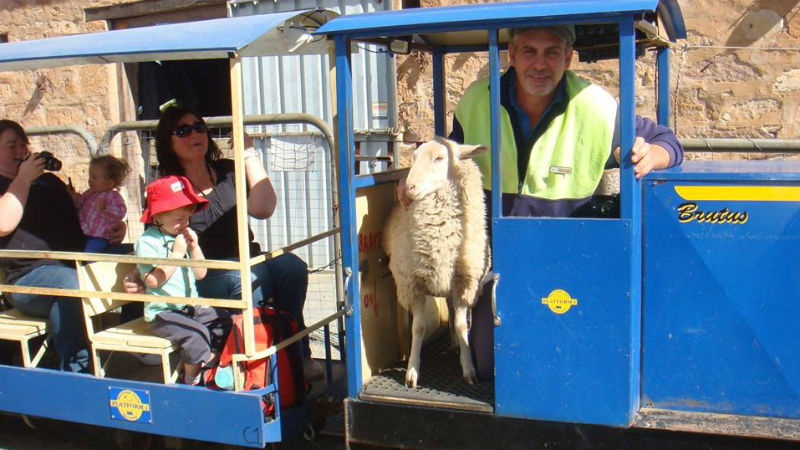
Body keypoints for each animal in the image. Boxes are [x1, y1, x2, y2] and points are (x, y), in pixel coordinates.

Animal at [382, 136, 488, 386]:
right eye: (414, 157)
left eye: (439, 158)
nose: (408, 187)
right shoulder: (413, 284)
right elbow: (418, 328)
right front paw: (412, 371)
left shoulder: (464, 283)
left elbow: (461, 325)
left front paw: (468, 368)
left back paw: (455, 343)